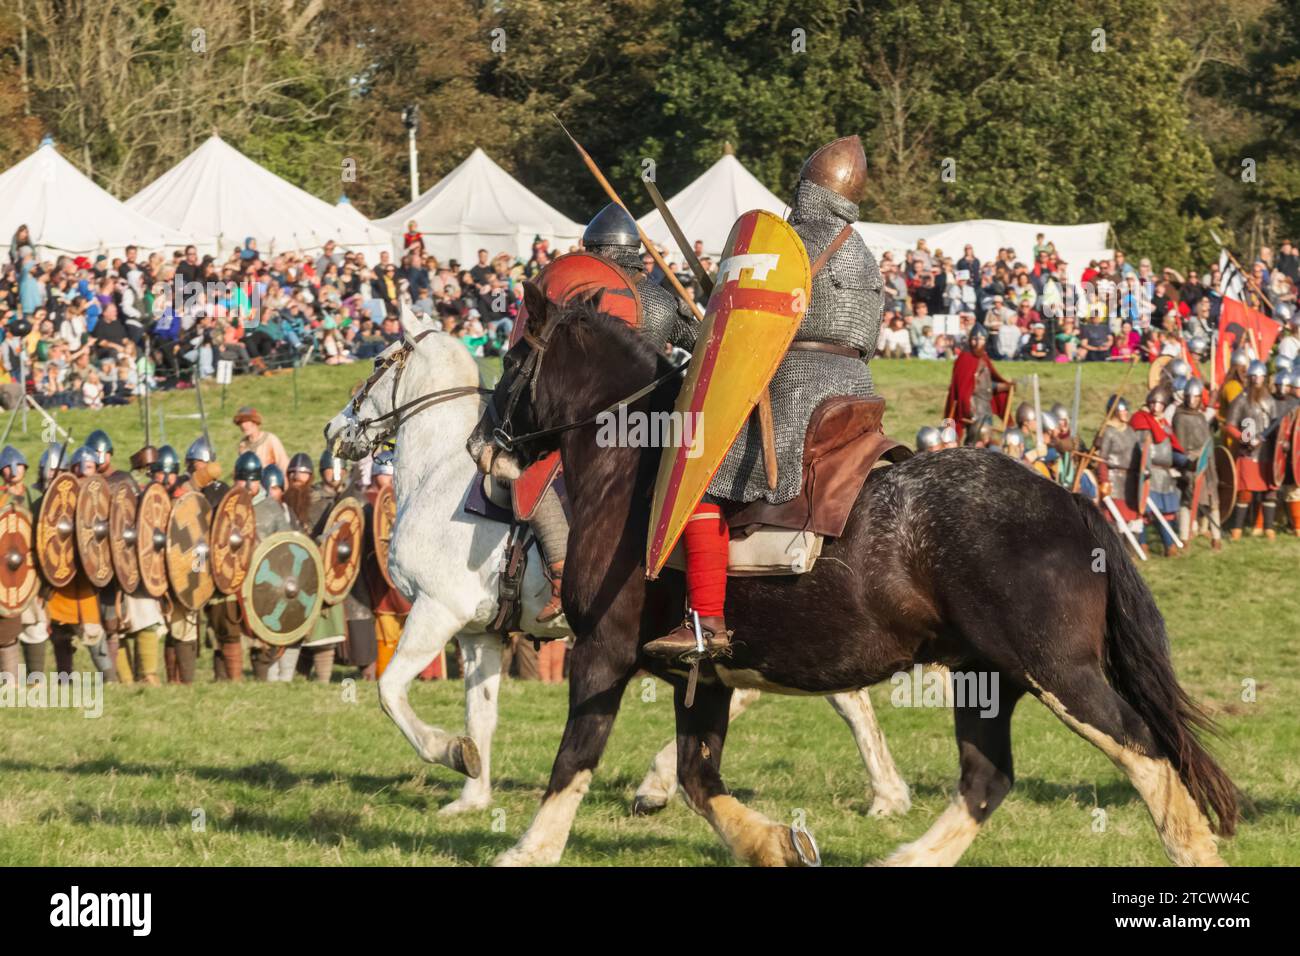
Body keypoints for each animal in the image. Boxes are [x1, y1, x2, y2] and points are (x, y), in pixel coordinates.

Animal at [325, 310, 915, 816]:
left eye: (378, 362)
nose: (335, 430)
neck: (440, 475)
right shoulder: (478, 633)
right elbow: (481, 713)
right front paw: (472, 791)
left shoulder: (436, 611)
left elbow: (390, 691)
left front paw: (446, 752)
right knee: (835, 694)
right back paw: (887, 791)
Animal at [462, 286, 1232, 868]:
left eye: (515, 355)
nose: (480, 446)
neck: (636, 470)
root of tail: (1069, 500)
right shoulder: (703, 674)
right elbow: (698, 777)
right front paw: (776, 844)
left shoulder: (604, 651)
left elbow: (576, 759)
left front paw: (528, 850)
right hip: (987, 675)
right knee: (988, 778)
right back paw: (909, 858)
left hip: (1058, 671)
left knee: (1142, 748)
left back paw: (1194, 851)